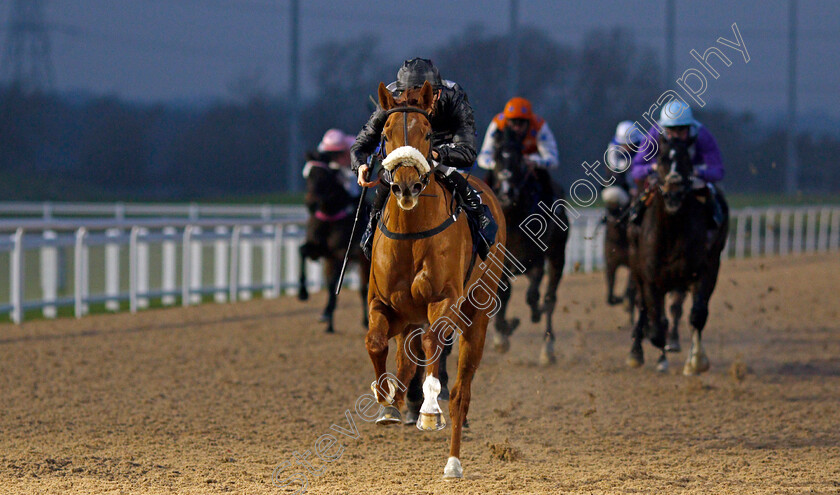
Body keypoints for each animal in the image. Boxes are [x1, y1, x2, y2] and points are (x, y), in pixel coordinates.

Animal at [298, 155, 370, 334]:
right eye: (307, 176)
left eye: (323, 177)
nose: (310, 204)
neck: (330, 215)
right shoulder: (322, 251)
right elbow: (301, 251)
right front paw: (303, 293)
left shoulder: (340, 252)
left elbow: (334, 284)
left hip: (363, 260)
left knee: (363, 289)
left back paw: (366, 321)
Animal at [366, 81, 506, 480]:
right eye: (384, 134)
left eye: (428, 133)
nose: (406, 186)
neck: (412, 233)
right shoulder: (384, 303)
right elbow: (376, 342)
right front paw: (387, 402)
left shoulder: (445, 300)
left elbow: (433, 346)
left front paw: (429, 410)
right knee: (406, 356)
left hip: (478, 315)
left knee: (460, 390)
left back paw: (453, 460)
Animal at [632, 134, 728, 374]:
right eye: (661, 159)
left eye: (686, 160)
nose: (673, 193)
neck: (671, 232)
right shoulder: (650, 278)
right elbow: (656, 328)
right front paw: (660, 356)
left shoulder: (705, 270)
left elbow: (697, 315)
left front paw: (696, 361)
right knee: (642, 306)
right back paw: (637, 352)